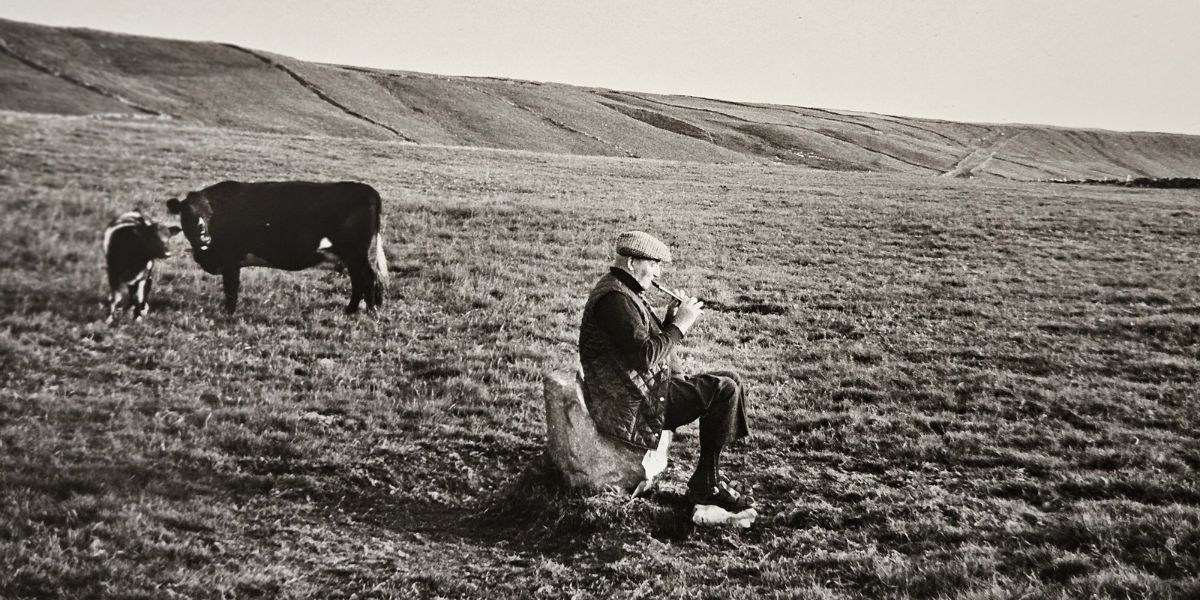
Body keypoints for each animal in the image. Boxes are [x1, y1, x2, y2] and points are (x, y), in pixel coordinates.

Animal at [164, 180, 386, 314]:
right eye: (186, 214)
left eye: (210, 214)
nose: (204, 238)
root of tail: (368, 190)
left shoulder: (230, 259)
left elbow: (230, 288)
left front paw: (229, 313)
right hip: (352, 255)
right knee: (362, 279)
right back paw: (356, 309)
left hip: (355, 253)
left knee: (366, 279)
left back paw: (364, 311)